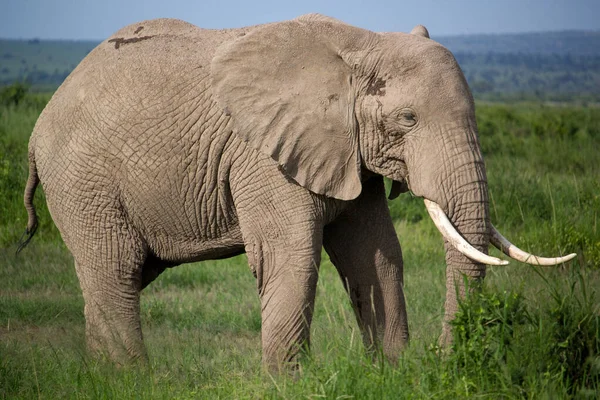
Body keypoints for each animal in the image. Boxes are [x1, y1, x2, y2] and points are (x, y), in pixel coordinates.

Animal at [18, 13, 576, 368]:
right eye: (408, 120)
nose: (444, 359)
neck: (361, 42)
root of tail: (40, 124)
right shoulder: (263, 155)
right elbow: (291, 253)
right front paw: (290, 383)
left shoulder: (347, 152)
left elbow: (375, 254)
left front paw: (393, 373)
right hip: (83, 180)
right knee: (115, 270)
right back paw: (134, 379)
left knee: (113, 276)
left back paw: (105, 376)